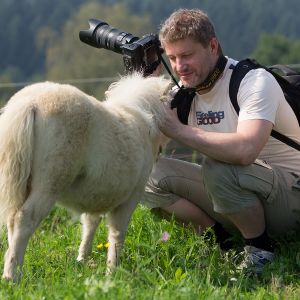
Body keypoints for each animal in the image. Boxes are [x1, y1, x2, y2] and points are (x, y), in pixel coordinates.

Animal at [0, 72, 171, 282]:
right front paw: (112, 272)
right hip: (48, 186)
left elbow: (90, 224)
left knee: (12, 223)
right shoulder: (131, 198)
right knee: (23, 219)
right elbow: (117, 234)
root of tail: (31, 103)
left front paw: (82, 262)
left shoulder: (96, 195)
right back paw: (12, 276)